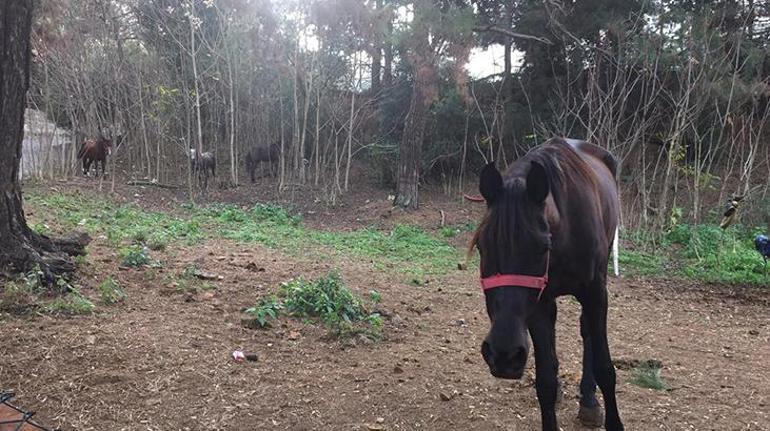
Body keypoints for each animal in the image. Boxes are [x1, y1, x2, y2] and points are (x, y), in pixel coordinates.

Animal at [468, 138, 624, 431]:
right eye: (482, 246)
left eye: (542, 247)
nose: (504, 354)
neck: (565, 230)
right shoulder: (538, 304)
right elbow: (546, 381)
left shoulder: (596, 293)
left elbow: (605, 368)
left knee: (587, 331)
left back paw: (589, 401)